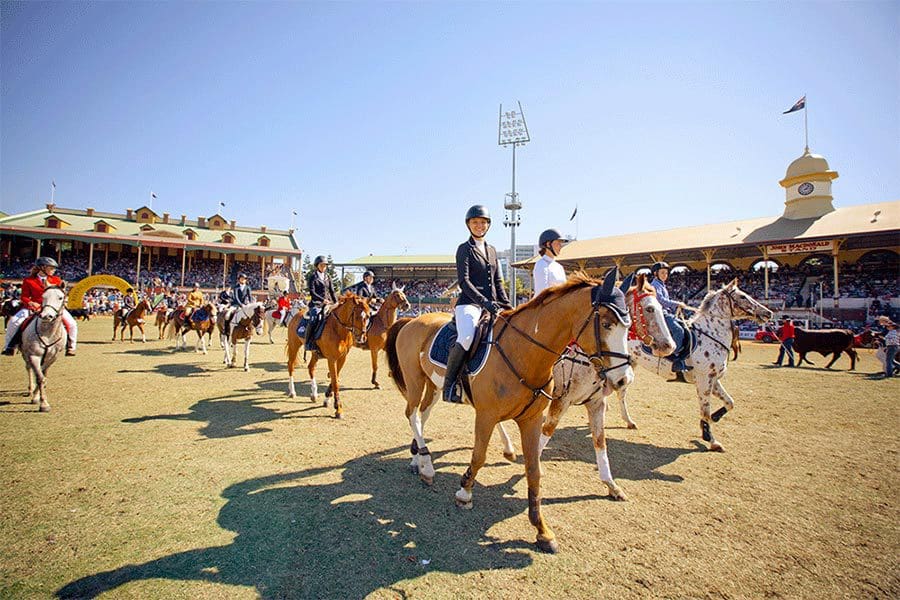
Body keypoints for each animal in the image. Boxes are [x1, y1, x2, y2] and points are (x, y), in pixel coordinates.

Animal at [384, 272, 632, 552]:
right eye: (608, 323)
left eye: (629, 325)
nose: (623, 380)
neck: (524, 352)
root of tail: (412, 320)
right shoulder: (486, 415)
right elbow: (479, 456)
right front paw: (464, 493)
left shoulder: (532, 420)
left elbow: (534, 470)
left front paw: (542, 530)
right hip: (415, 381)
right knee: (412, 414)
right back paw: (427, 466)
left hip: (433, 385)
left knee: (421, 416)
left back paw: (418, 459)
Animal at [624, 278, 772, 452]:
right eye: (743, 296)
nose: (768, 313)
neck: (710, 334)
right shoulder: (704, 379)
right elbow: (705, 410)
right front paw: (711, 439)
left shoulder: (713, 379)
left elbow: (730, 402)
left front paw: (714, 419)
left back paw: (628, 421)